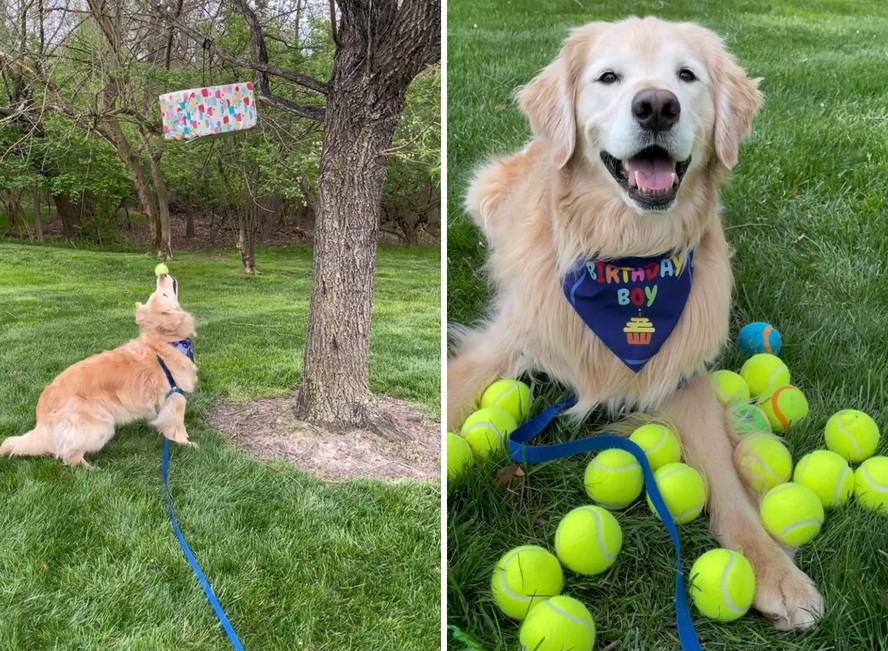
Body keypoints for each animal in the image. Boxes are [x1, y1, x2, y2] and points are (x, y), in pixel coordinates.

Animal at [1, 272, 196, 466]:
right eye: (162, 294)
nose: (162, 274)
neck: (164, 342)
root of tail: (41, 413)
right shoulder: (176, 397)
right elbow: (177, 425)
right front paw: (186, 443)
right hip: (99, 425)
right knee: (69, 455)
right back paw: (90, 468)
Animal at [450, 16, 824, 632]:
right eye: (609, 77)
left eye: (686, 76)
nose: (656, 106)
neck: (630, 256)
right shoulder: (508, 339)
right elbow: (455, 394)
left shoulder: (684, 373)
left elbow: (724, 474)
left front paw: (772, 570)